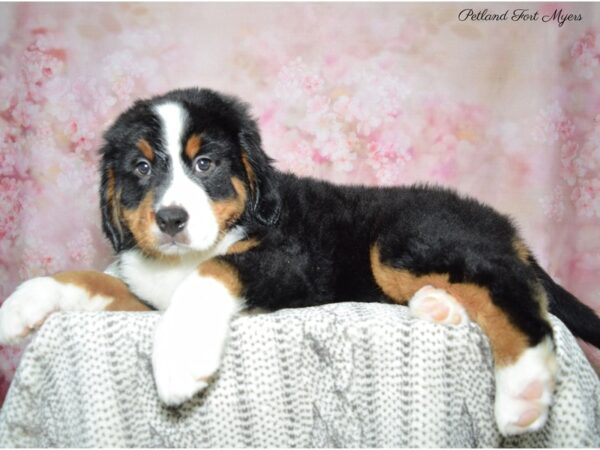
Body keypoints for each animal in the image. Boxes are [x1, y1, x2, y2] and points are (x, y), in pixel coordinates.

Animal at [1, 88, 600, 436]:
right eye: (142, 168)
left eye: (205, 163)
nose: (170, 219)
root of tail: (502, 224)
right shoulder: (146, 295)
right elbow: (91, 277)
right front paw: (22, 307)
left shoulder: (290, 261)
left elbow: (214, 271)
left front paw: (180, 358)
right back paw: (439, 307)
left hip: (404, 237)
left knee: (511, 286)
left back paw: (524, 388)